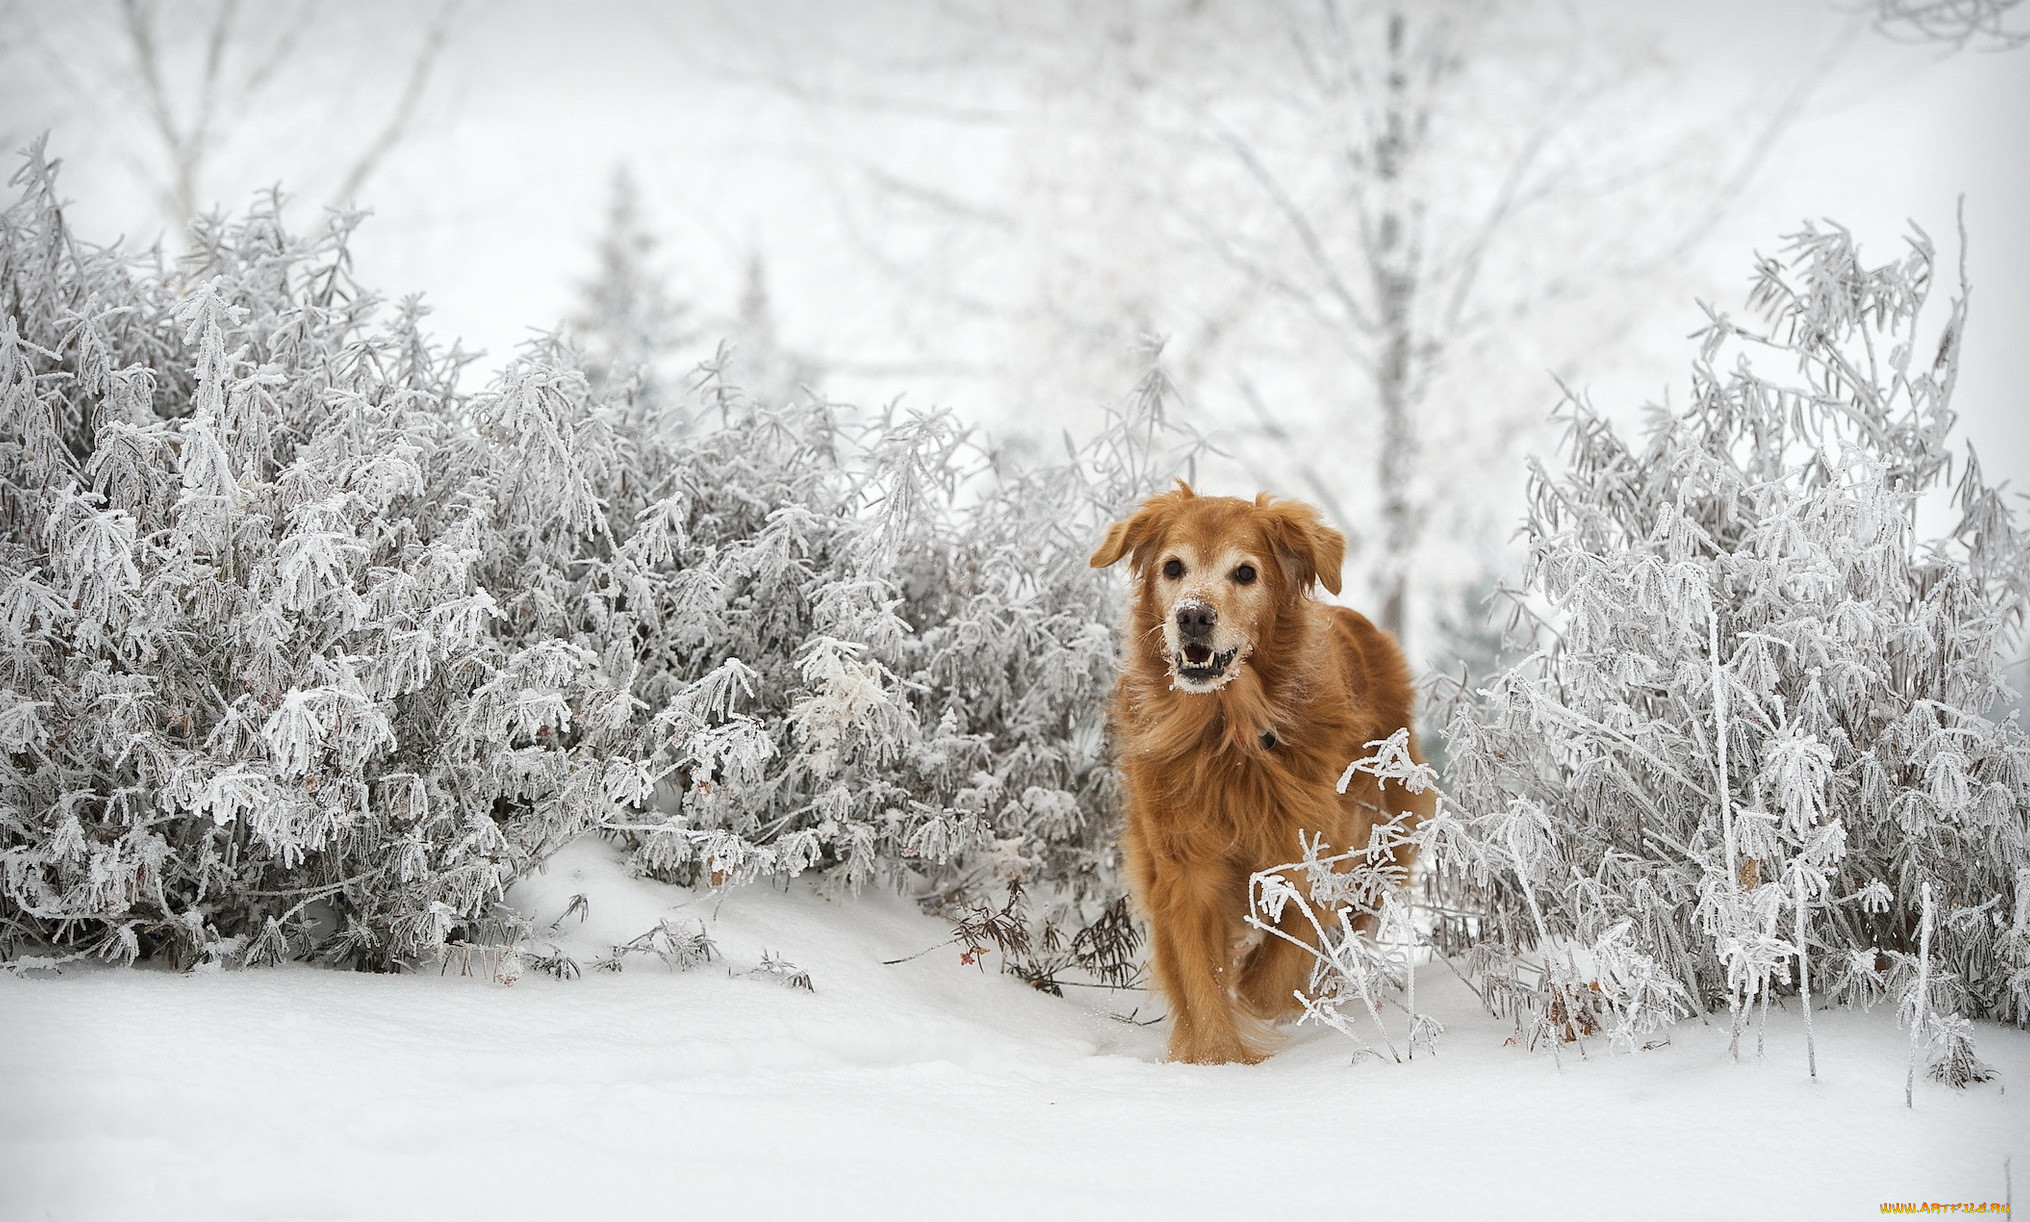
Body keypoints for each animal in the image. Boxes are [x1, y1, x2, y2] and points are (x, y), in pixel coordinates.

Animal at [1088, 481, 1437, 1063]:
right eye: (1173, 567)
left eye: (1245, 573)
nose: (1193, 616)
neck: (1229, 732)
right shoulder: (1184, 864)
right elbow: (1200, 977)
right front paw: (1216, 1058)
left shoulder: (1318, 846)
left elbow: (1280, 960)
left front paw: (1261, 997)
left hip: (1392, 835)